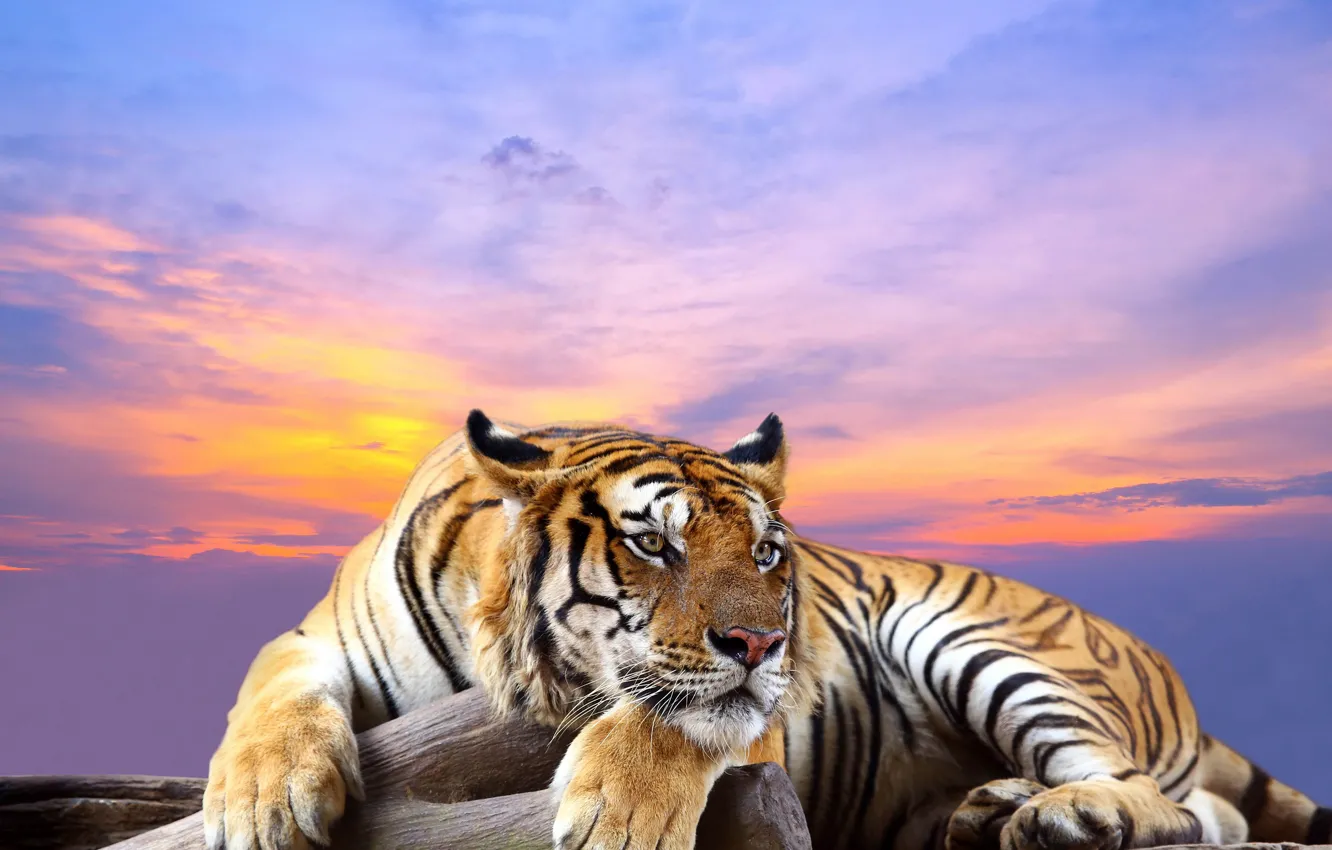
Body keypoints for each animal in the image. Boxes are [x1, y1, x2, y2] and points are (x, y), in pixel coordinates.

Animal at [203, 411, 1330, 850]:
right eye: (652, 545)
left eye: (767, 554)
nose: (764, 644)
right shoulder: (318, 637)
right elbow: (268, 686)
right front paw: (259, 804)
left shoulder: (749, 710)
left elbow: (672, 717)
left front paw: (617, 816)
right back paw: (992, 807)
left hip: (976, 640)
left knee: (1166, 803)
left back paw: (1067, 813)